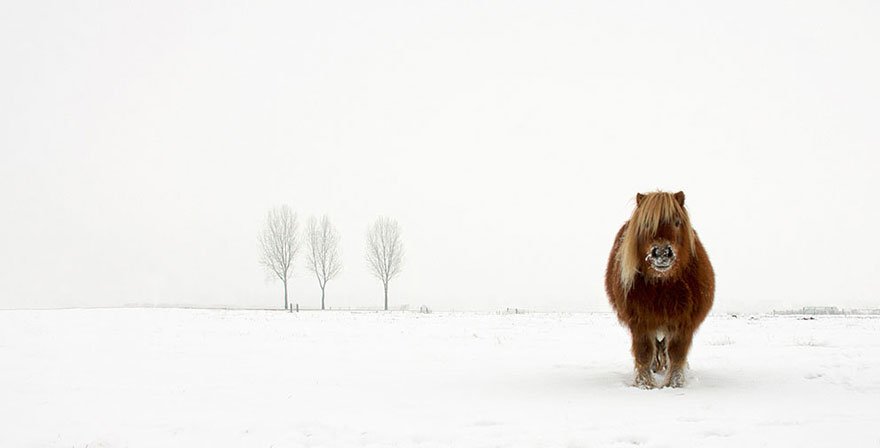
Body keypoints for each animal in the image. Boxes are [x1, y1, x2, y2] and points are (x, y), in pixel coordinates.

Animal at [605, 191, 714, 388]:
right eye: (647, 224)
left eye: (677, 222)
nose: (662, 253)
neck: (663, 285)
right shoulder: (640, 323)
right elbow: (644, 353)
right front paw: (644, 384)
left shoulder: (683, 323)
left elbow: (677, 354)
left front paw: (674, 383)